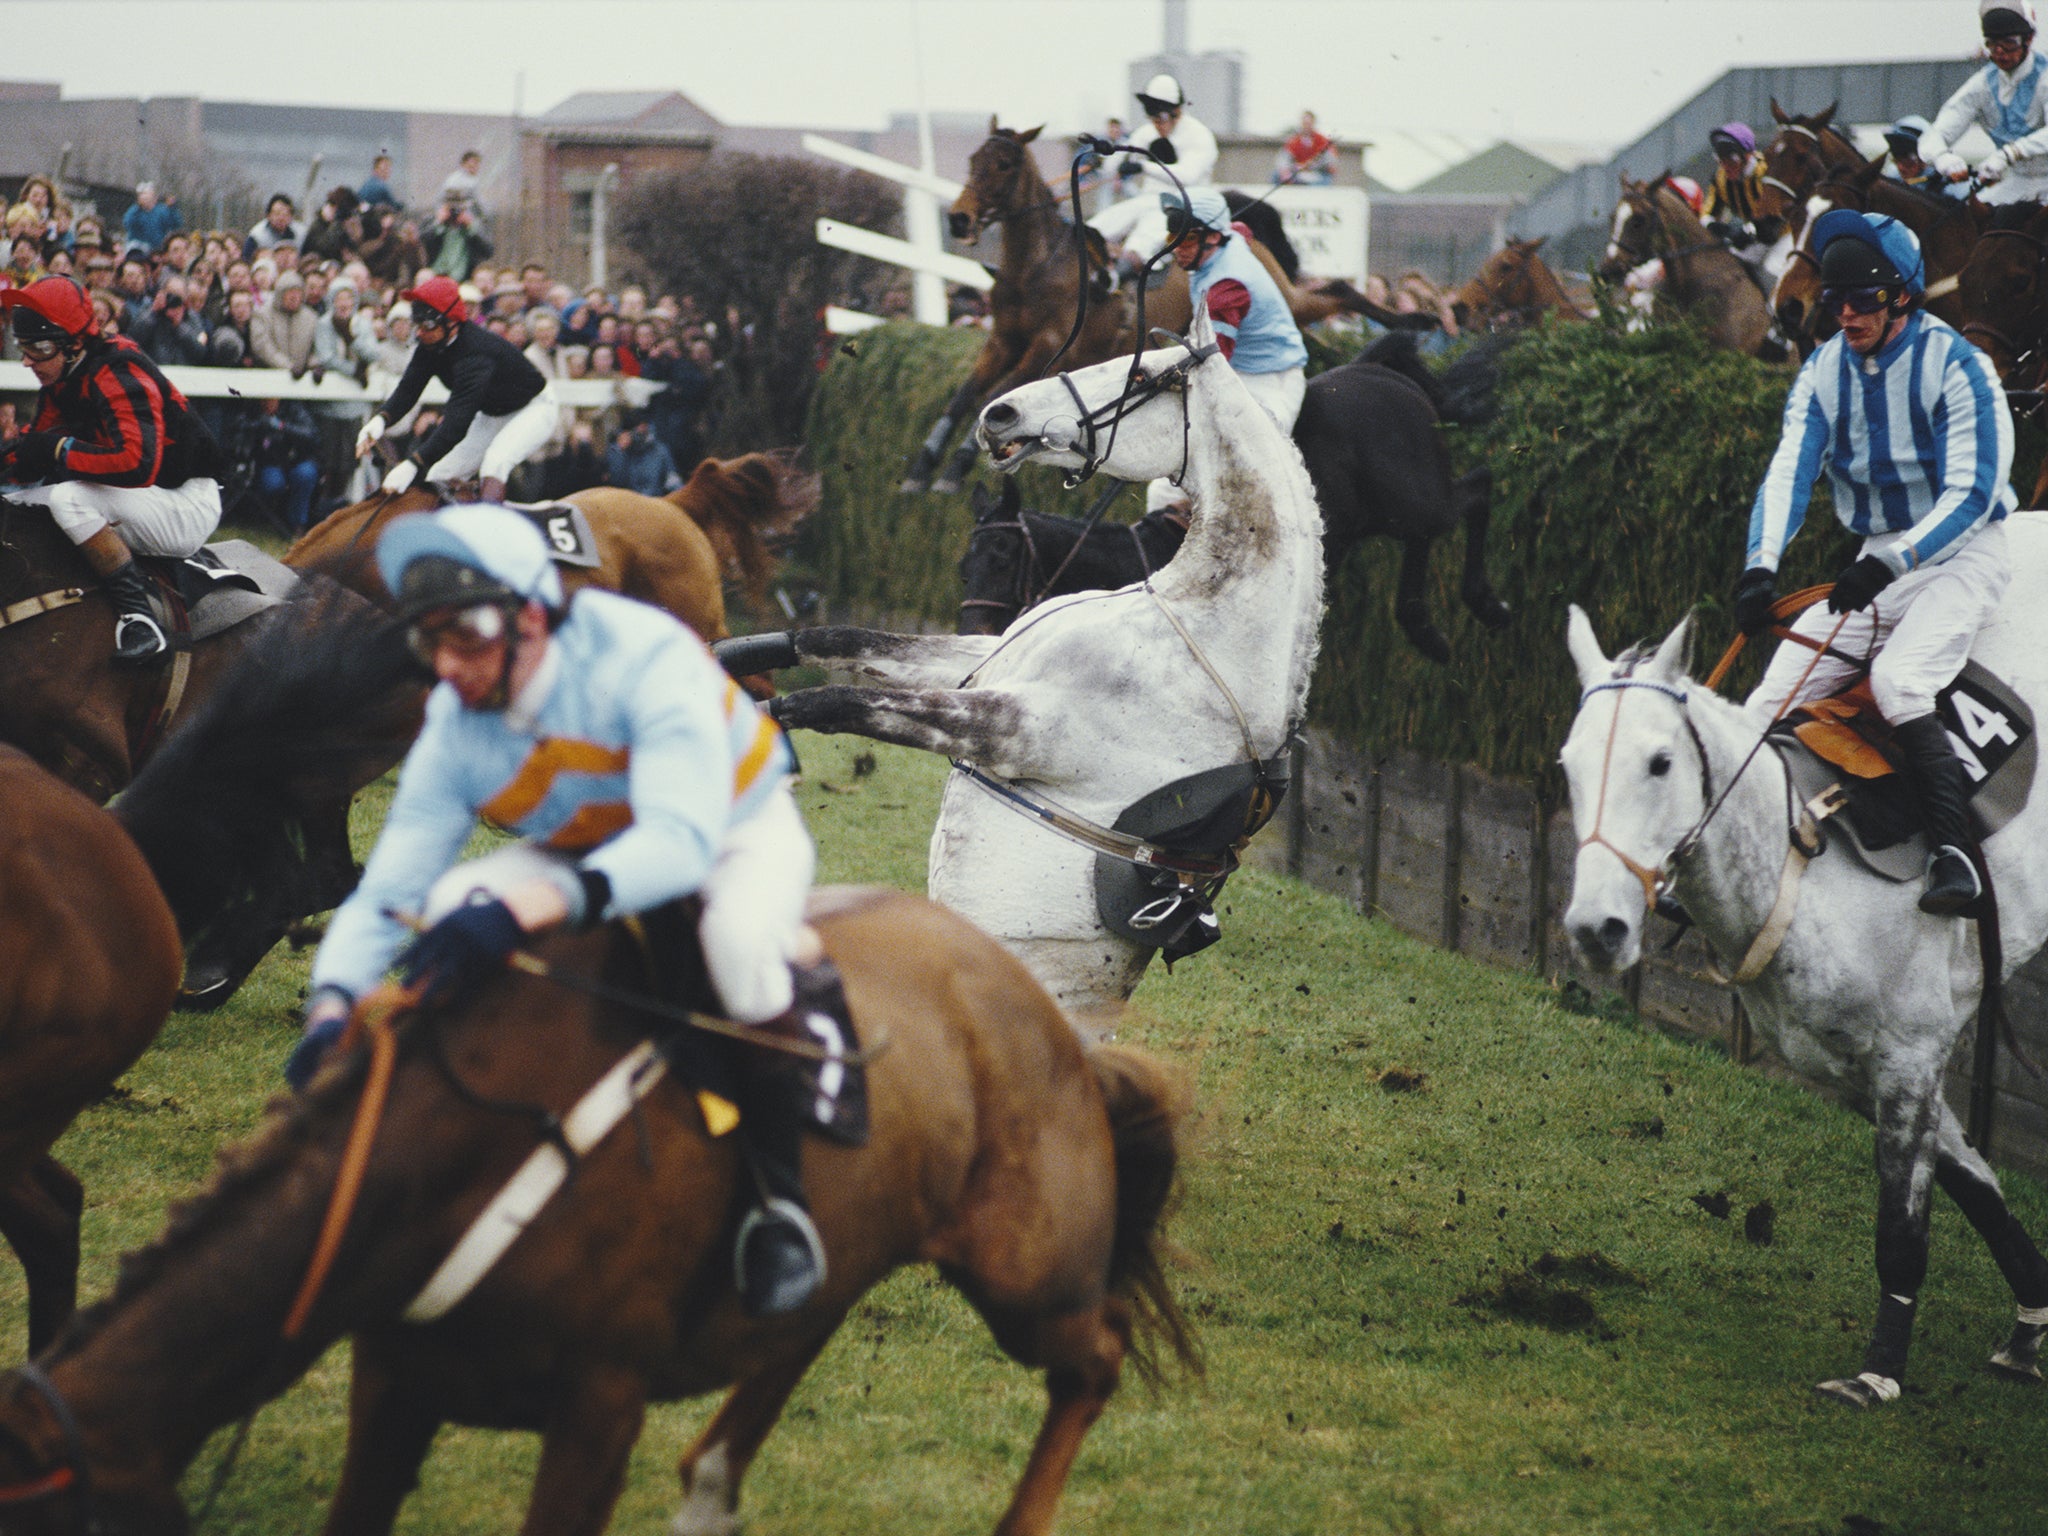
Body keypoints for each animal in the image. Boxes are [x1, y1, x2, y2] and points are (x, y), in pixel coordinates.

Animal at [0, 888, 1196, 1536]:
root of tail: (1050, 1021)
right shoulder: (391, 1381)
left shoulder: (597, 1409)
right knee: (809, 1317)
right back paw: (710, 1484)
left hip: (1026, 1275)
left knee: (1092, 1356)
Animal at [737, 303, 1327, 1024]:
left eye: (1138, 374)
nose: (999, 413)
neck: (1205, 621)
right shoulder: (982, 660)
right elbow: (835, 639)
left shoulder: (1020, 727)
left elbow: (827, 702)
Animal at [905, 126, 1417, 499]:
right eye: (973, 160)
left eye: (1004, 164)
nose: (959, 219)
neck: (1037, 268)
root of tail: (1241, 228)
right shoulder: (1001, 341)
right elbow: (964, 395)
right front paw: (922, 467)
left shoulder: (1049, 345)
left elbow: (997, 391)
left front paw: (956, 467)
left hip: (1290, 299)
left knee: (1335, 290)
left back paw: (1413, 322)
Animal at [1556, 581, 2048, 1417]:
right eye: (1570, 765)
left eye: (1659, 762)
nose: (1597, 928)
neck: (1800, 872)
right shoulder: (1854, 1070)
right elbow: (1978, 1187)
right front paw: (2029, 1325)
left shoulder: (1911, 1058)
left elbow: (1903, 1226)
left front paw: (1877, 1371)